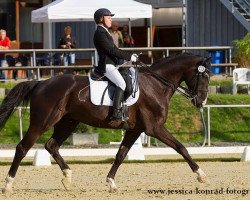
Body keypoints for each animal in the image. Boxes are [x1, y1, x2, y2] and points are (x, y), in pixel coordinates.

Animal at [0, 53, 211, 194]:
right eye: (205, 76)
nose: (200, 101)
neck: (156, 84)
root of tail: (41, 83)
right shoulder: (155, 128)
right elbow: (181, 147)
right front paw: (201, 175)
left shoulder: (135, 130)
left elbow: (120, 155)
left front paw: (111, 182)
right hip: (42, 122)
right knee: (23, 147)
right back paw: (9, 185)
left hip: (68, 122)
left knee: (51, 145)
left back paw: (67, 178)